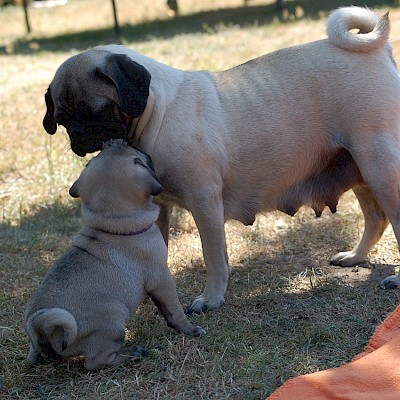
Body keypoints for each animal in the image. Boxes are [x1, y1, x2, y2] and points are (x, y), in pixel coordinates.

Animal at [24, 139, 205, 370]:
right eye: (139, 156)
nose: (113, 140)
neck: (112, 224)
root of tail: (41, 329)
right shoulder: (161, 279)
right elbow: (175, 310)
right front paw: (190, 330)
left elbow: (165, 310)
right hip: (114, 317)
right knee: (95, 361)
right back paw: (131, 353)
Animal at [42, 6, 400, 312]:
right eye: (62, 119)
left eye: (97, 112)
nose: (79, 135)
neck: (157, 111)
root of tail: (377, 52)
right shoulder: (155, 209)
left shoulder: (204, 202)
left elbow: (213, 257)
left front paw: (211, 299)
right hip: (360, 170)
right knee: (376, 220)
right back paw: (355, 256)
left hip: (379, 167)